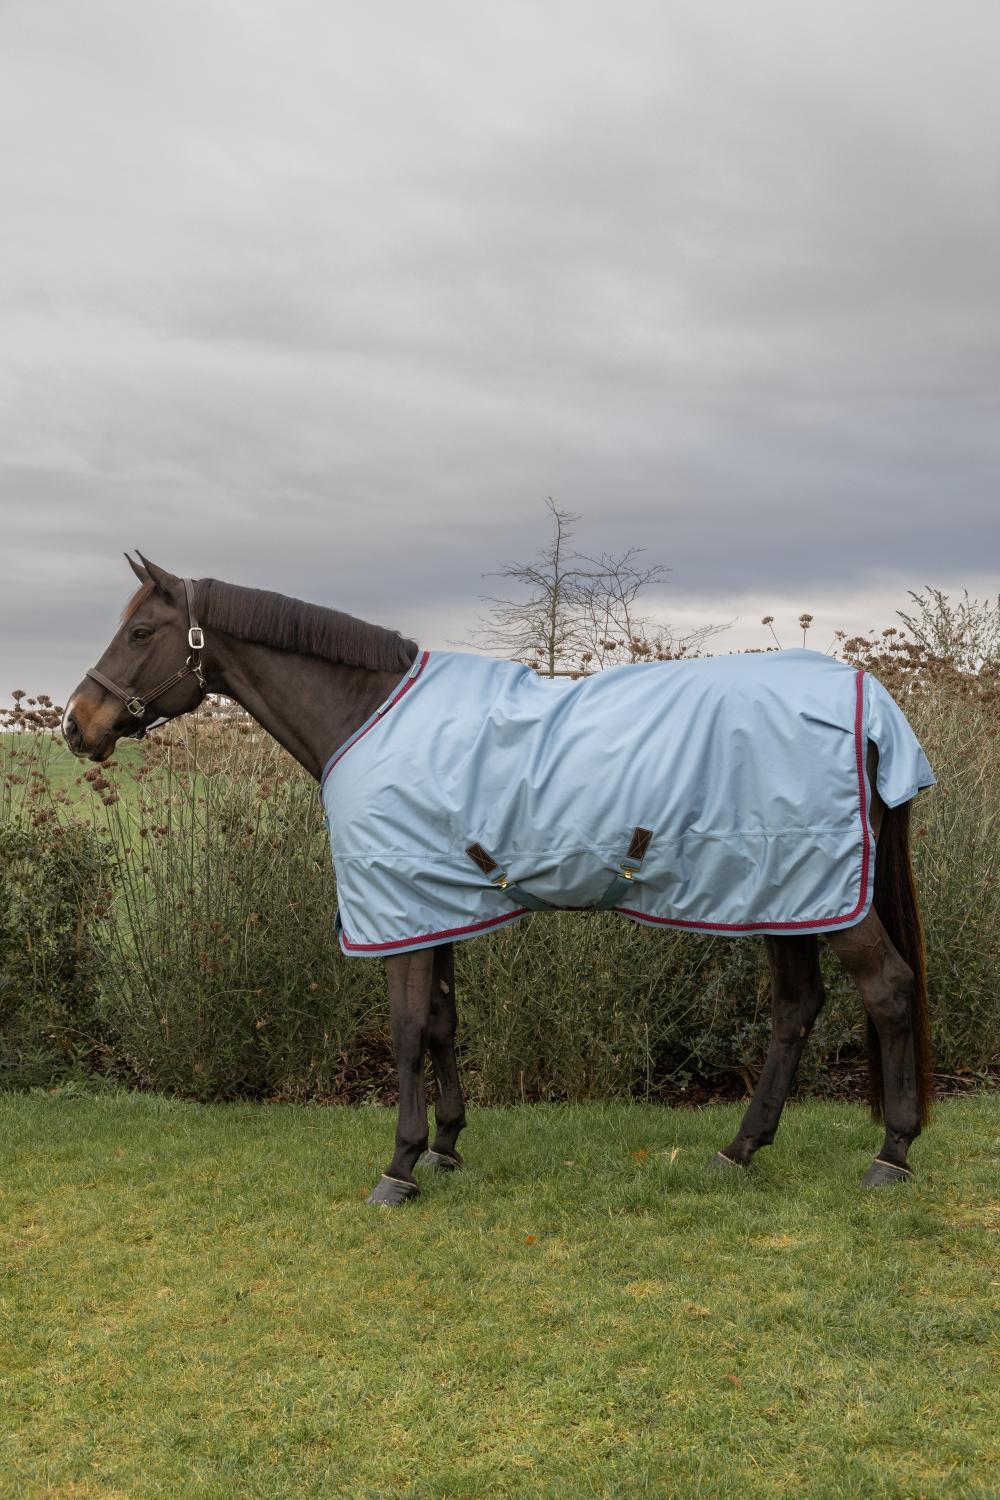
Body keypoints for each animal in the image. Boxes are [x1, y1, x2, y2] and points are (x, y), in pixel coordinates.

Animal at [63, 554, 935, 1204]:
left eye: (141, 630)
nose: (77, 725)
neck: (366, 714)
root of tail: (869, 700)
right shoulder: (432, 905)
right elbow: (442, 1022)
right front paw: (445, 1148)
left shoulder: (399, 908)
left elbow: (406, 1029)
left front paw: (399, 1166)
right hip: (781, 893)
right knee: (796, 1008)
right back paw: (740, 1150)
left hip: (817, 891)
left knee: (887, 990)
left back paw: (891, 1155)